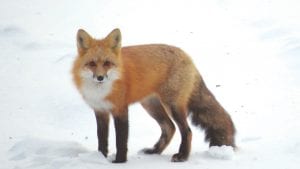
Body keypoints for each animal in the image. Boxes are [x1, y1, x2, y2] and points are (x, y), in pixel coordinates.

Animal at [72, 28, 234, 162]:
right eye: (92, 64)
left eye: (107, 63)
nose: (100, 77)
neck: (101, 90)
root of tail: (186, 56)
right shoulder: (100, 111)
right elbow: (102, 139)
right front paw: (100, 158)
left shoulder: (121, 109)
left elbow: (121, 140)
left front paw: (119, 161)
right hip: (151, 106)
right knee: (170, 128)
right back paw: (155, 151)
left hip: (172, 106)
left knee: (187, 131)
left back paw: (182, 156)